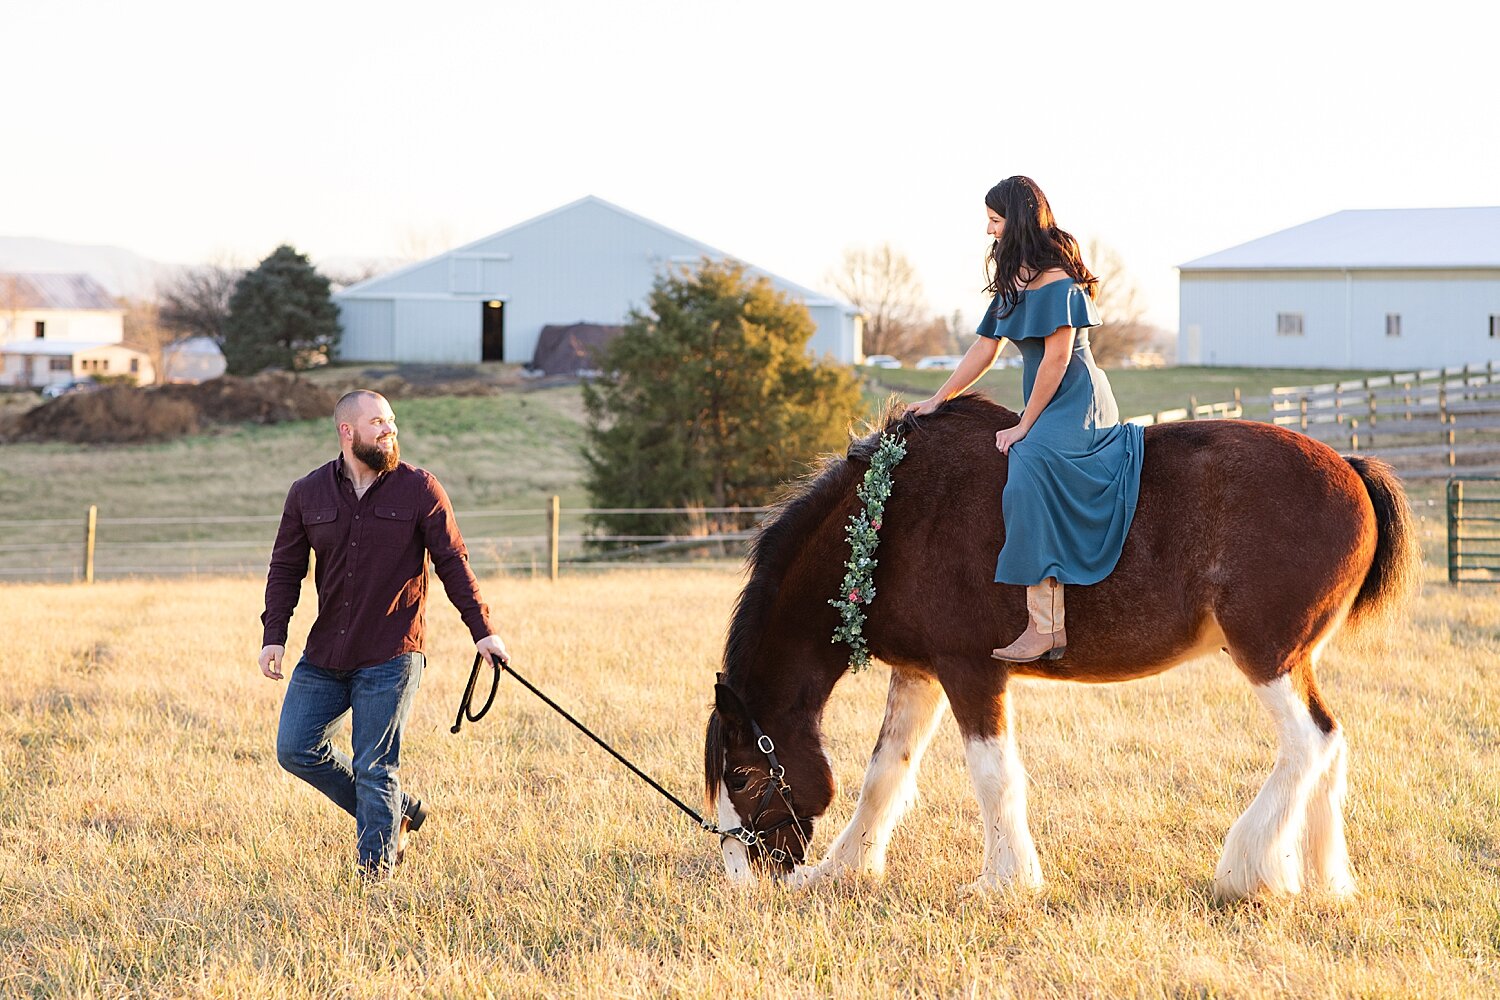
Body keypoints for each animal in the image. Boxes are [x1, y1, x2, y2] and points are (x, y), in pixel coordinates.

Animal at [702, 395, 1416, 905]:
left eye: (741, 776)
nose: (744, 878)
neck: (890, 520)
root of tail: (1351, 469)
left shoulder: (971, 672)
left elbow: (993, 776)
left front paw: (1004, 883)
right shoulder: (919, 675)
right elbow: (885, 774)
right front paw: (843, 870)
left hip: (1267, 655)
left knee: (1309, 744)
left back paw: (1250, 870)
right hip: (1296, 661)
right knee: (1331, 743)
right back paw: (1324, 881)